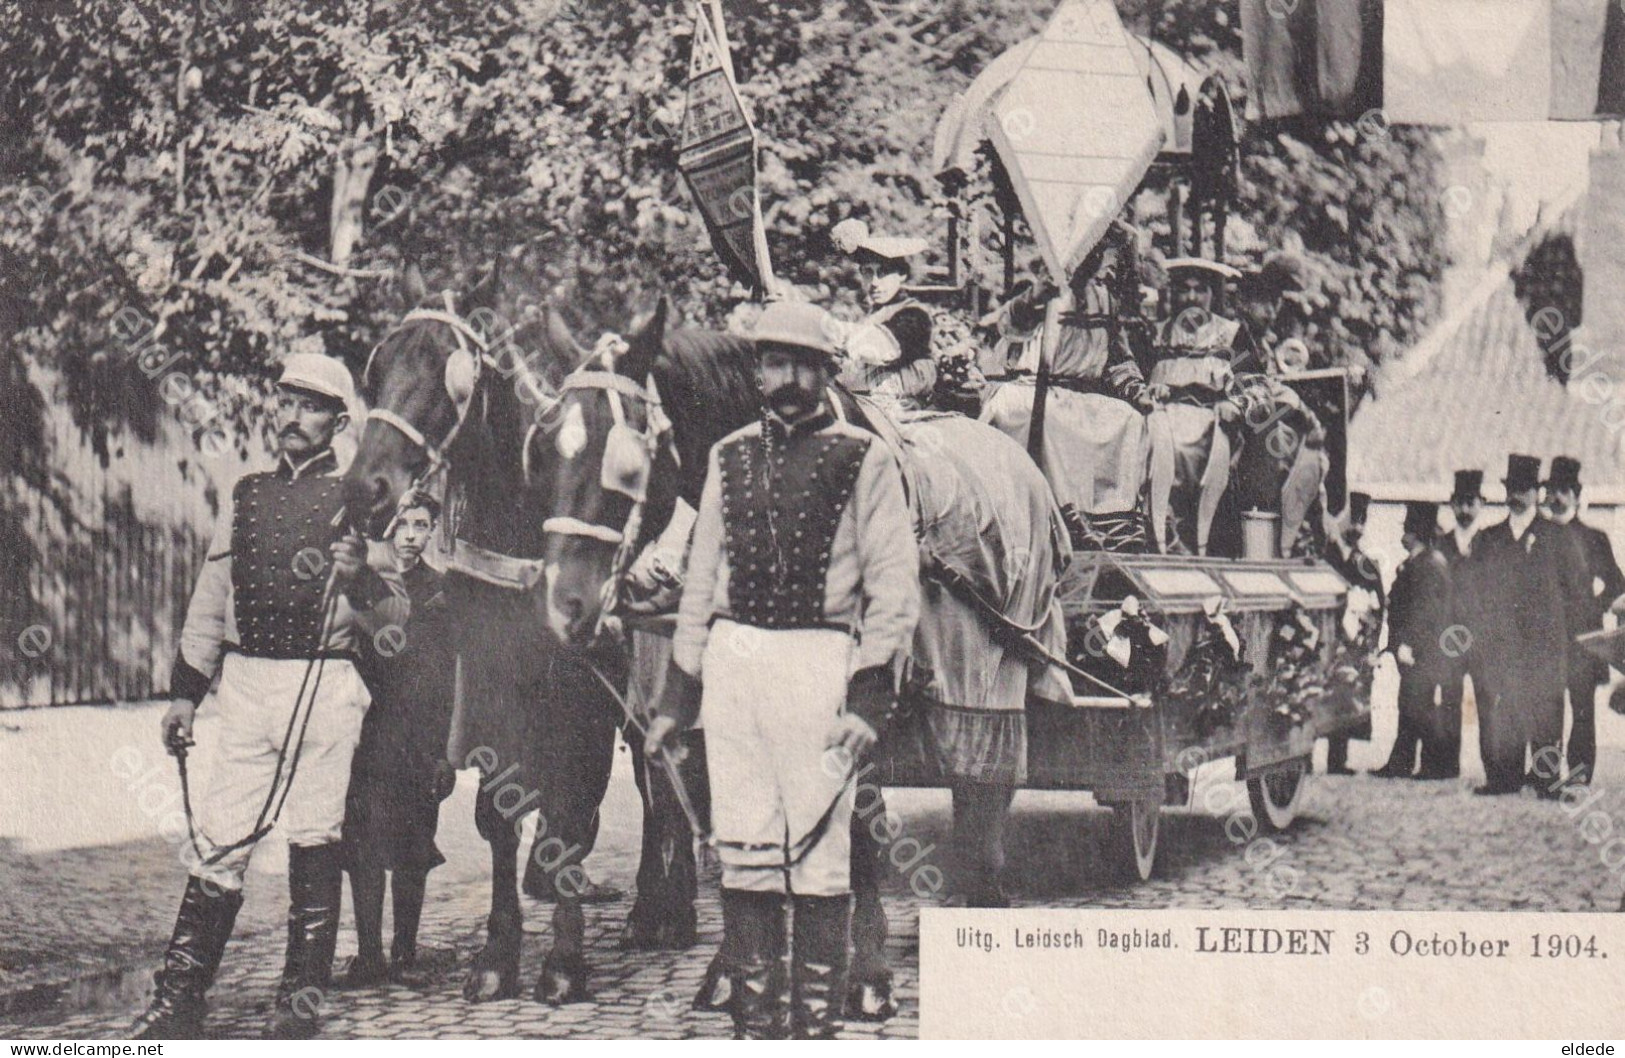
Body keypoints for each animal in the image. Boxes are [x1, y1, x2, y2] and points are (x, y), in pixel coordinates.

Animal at [339, 292, 676, 1007]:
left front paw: (565, 962)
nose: (364, 488)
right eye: (377, 368)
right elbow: (499, 815)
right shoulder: (489, 690)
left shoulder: (581, 702)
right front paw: (499, 955)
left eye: (451, 376)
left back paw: (659, 911)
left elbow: (571, 812)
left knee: (656, 785)